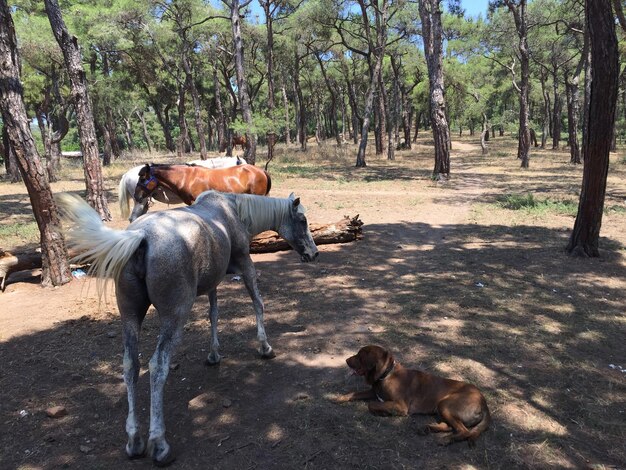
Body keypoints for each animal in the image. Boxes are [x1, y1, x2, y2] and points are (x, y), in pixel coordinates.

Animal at [57, 190, 316, 466]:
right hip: (175, 316)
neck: (233, 211)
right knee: (157, 366)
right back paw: (159, 444)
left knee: (130, 366)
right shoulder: (246, 266)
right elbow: (258, 302)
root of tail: (141, 238)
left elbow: (214, 314)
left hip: (130, 316)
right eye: (302, 221)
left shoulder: (213, 281)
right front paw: (265, 347)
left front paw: (214, 354)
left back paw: (134, 440)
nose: (314, 254)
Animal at [334, 344, 490, 446]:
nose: (346, 360)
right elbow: (355, 393)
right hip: (442, 409)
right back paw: (428, 428)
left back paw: (446, 439)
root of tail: (483, 401)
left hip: (445, 404)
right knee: (452, 427)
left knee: (464, 431)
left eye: (359, 356)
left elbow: (372, 404)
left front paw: (382, 413)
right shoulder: (374, 391)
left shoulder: (400, 406)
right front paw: (340, 397)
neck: (386, 374)